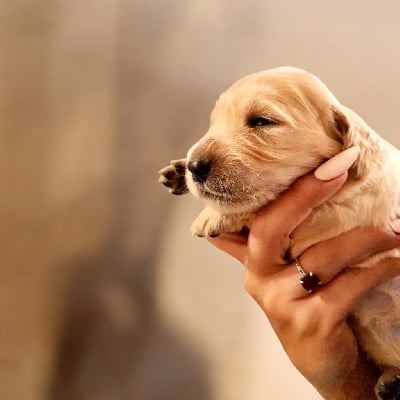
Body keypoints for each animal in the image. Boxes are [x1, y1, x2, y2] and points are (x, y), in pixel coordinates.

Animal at [159, 66, 400, 396]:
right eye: (214, 122)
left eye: (262, 121)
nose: (195, 166)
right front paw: (178, 173)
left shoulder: (336, 212)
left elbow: (269, 201)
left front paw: (212, 215)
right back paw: (391, 382)